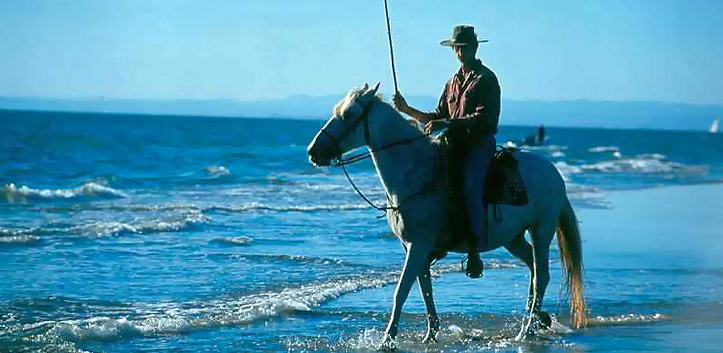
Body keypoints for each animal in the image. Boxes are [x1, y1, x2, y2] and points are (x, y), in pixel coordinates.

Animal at [306, 82, 588, 346]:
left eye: (348, 114)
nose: (312, 152)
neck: (414, 172)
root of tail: (554, 172)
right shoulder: (414, 247)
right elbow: (424, 289)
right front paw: (430, 334)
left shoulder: (418, 245)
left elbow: (402, 290)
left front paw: (387, 340)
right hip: (513, 237)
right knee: (532, 267)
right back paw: (536, 320)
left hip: (542, 229)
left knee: (541, 276)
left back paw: (526, 330)